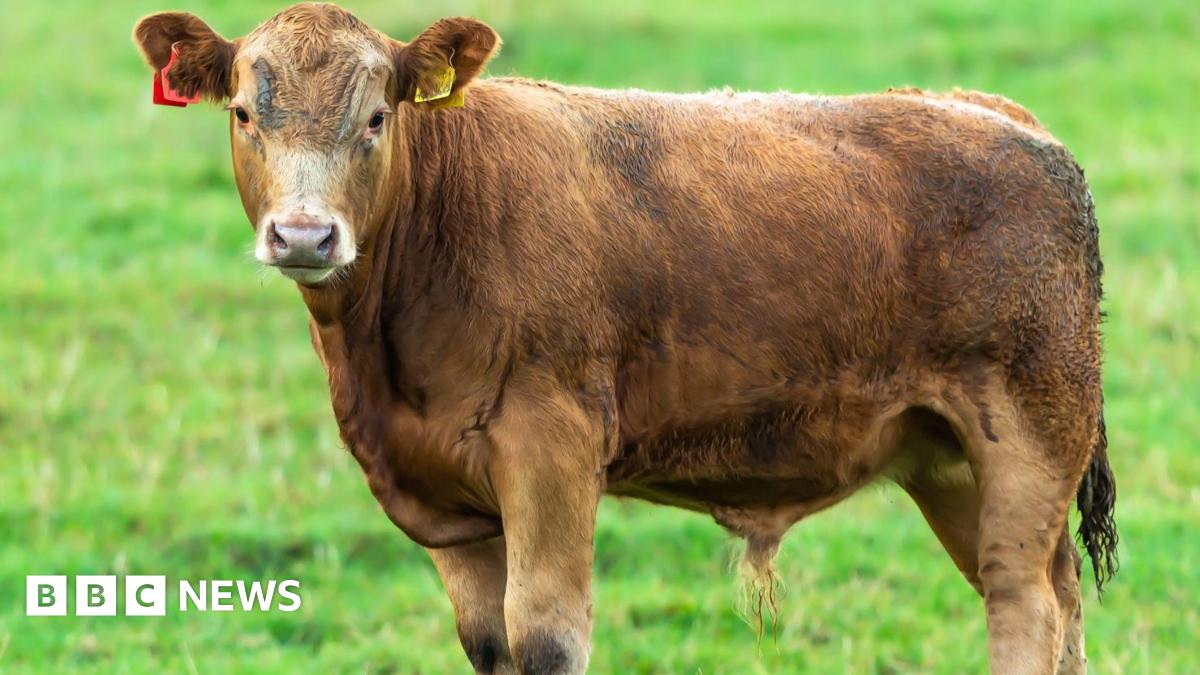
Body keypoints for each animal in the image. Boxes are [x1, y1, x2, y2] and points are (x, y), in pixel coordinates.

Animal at [133, 4, 1117, 674]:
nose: (304, 236)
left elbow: (547, 637)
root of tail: (999, 114)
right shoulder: (448, 500)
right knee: (1054, 597)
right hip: (950, 459)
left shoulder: (553, 449)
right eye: (244, 114)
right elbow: (490, 641)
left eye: (377, 118)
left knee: (1024, 602)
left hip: (1030, 432)